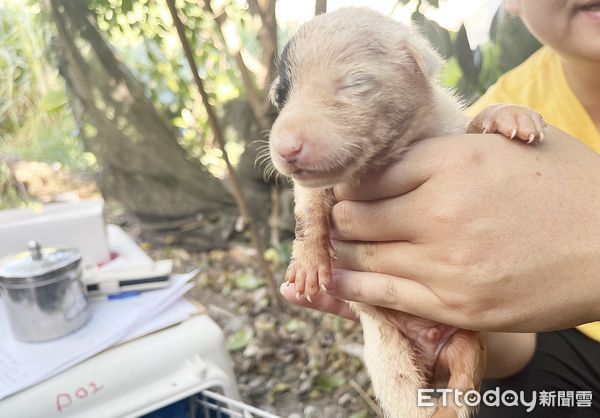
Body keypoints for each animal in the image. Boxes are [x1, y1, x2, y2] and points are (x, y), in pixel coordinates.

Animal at [270, 7, 548, 418]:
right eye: (280, 98)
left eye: (354, 84)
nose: (285, 149)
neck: (386, 156)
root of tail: (431, 356)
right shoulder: (316, 187)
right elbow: (309, 210)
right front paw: (307, 263)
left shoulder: (451, 129)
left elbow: (477, 119)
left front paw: (510, 115)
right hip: (389, 356)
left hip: (468, 345)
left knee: (463, 384)